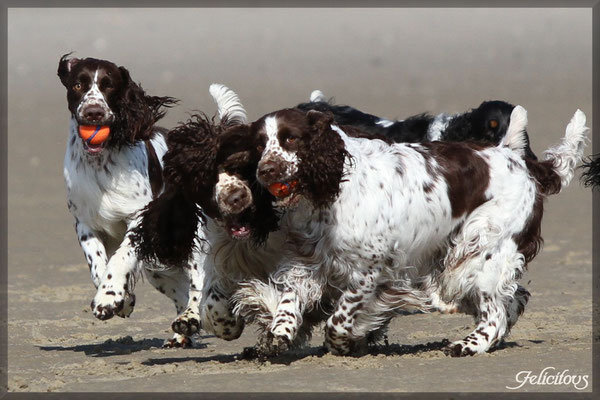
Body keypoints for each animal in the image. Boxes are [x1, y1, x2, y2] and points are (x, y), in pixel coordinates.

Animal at [57, 54, 205, 346]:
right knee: (181, 290)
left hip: (192, 236)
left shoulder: (138, 217)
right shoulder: (84, 223)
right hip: (158, 264)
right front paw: (122, 300)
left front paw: (108, 296)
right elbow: (97, 263)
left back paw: (190, 319)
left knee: (198, 282)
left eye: (109, 85)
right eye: (78, 84)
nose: (93, 112)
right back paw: (180, 334)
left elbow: (121, 256)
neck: (100, 164)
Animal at [233, 106, 584, 356]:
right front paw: (278, 335)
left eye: (290, 138)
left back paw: (469, 345)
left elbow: (340, 318)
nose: (266, 170)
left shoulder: (370, 269)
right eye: (260, 145)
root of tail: (519, 160)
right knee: (514, 297)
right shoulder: (307, 259)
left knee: (495, 311)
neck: (331, 189)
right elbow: (288, 300)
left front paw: (344, 343)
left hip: (478, 252)